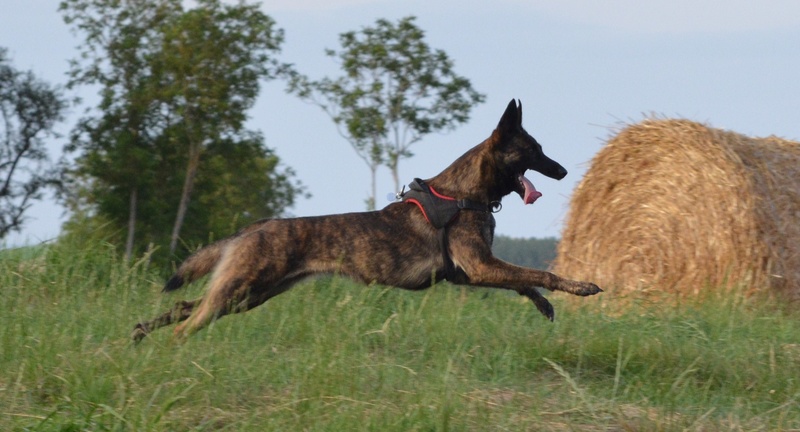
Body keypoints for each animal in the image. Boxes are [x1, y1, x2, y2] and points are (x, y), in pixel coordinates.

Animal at [131, 99, 600, 342]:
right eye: (534, 150)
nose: (563, 172)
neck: (463, 194)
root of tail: (257, 226)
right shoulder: (480, 267)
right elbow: (540, 272)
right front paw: (579, 287)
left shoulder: (473, 271)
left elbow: (525, 281)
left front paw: (544, 305)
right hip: (244, 289)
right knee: (188, 322)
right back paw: (166, 347)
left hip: (251, 293)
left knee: (184, 306)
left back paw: (140, 333)